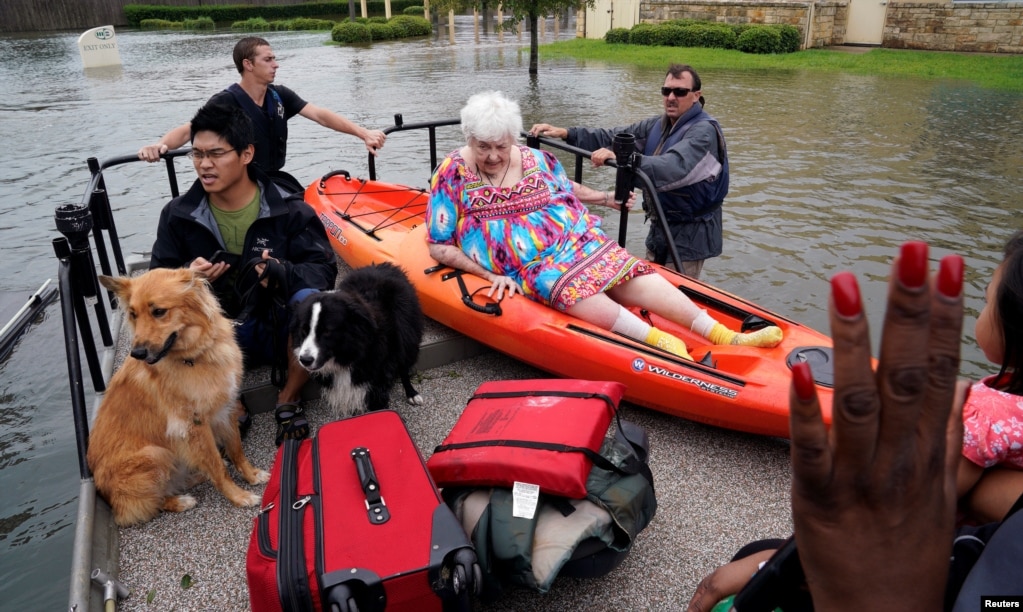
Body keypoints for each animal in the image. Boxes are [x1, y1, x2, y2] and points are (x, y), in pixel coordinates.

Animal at [88, 268, 270, 528]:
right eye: (133, 315)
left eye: (158, 311)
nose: (137, 353)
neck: (197, 356)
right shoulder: (194, 426)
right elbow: (217, 468)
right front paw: (238, 496)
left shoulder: (225, 409)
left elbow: (236, 449)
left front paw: (252, 475)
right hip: (155, 454)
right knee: (144, 506)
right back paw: (179, 501)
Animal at [292, 264, 423, 417]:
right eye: (303, 330)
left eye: (327, 331)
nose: (305, 360)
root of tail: (387, 265)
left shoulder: (377, 385)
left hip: (406, 339)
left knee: (404, 366)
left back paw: (412, 394)